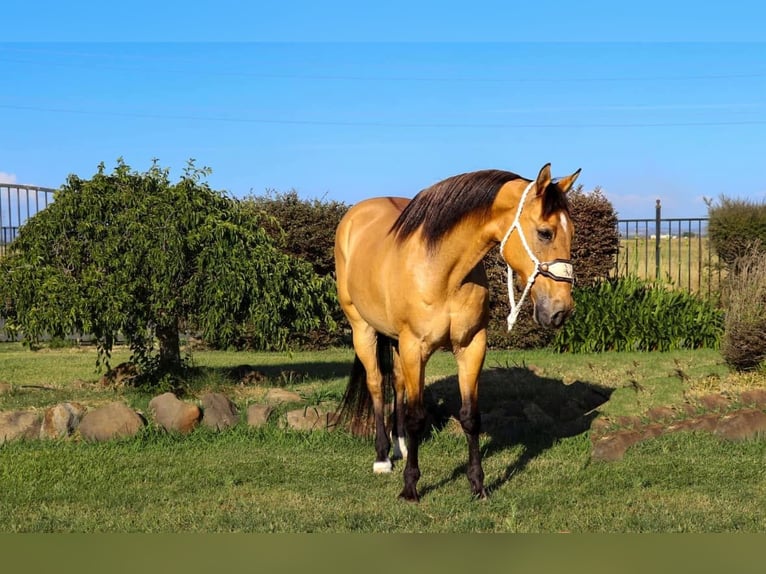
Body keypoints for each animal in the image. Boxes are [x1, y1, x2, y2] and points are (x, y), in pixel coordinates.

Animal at [334, 163, 580, 501]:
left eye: (572, 233)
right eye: (545, 232)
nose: (560, 310)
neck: (444, 271)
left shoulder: (471, 346)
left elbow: (470, 417)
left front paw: (478, 485)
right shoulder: (415, 347)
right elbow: (417, 416)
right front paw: (410, 488)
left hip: (396, 341)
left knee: (397, 383)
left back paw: (399, 446)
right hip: (363, 329)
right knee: (376, 385)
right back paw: (383, 457)